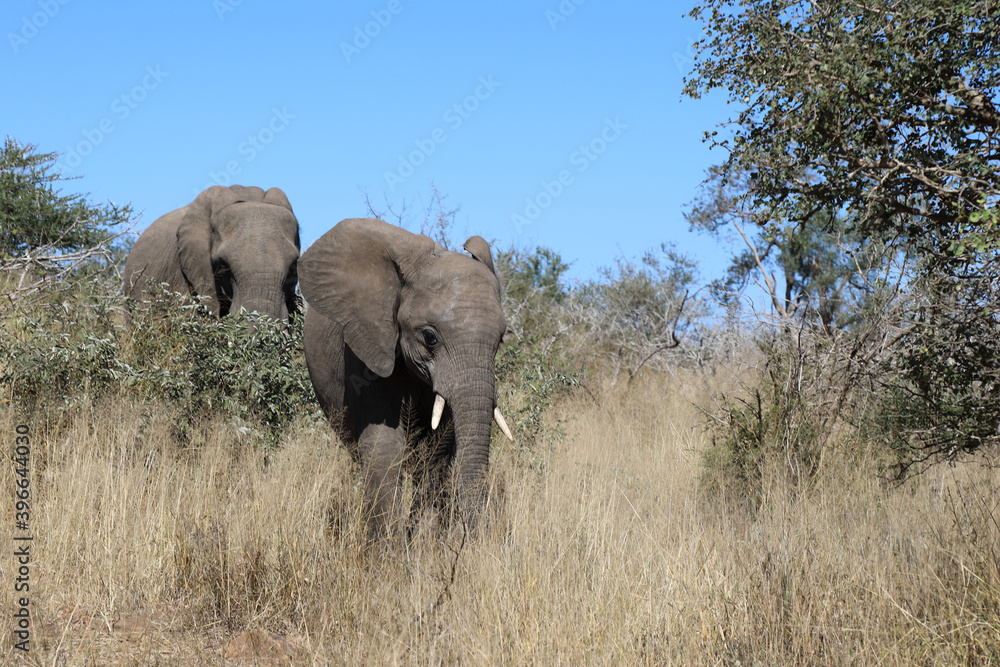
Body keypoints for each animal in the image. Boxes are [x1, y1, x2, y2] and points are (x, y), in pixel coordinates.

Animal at [300, 219, 512, 536]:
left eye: (499, 340)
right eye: (430, 337)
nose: (474, 538)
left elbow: (436, 451)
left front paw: (425, 540)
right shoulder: (364, 348)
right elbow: (383, 445)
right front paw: (388, 547)